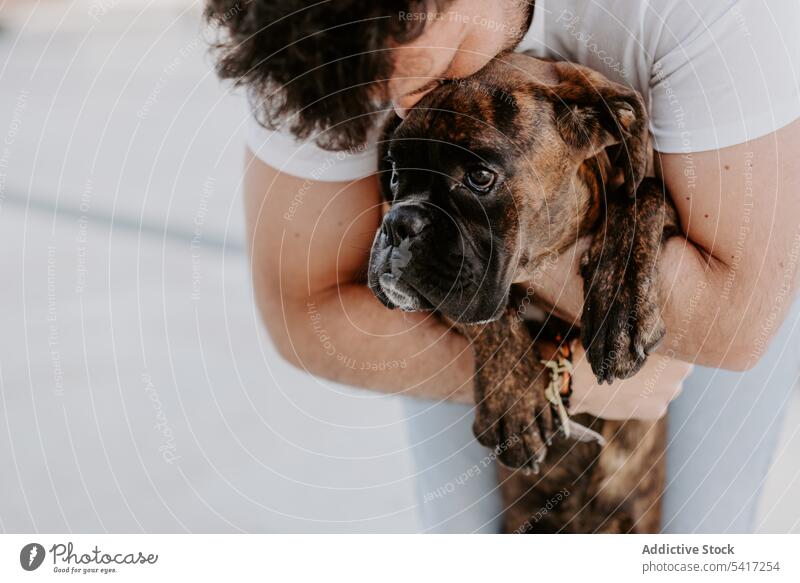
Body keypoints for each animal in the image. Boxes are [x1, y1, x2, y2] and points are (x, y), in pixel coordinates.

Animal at [366, 53, 680, 532]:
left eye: (479, 177)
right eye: (396, 174)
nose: (399, 223)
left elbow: (641, 191)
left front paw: (621, 306)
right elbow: (487, 318)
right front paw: (512, 399)